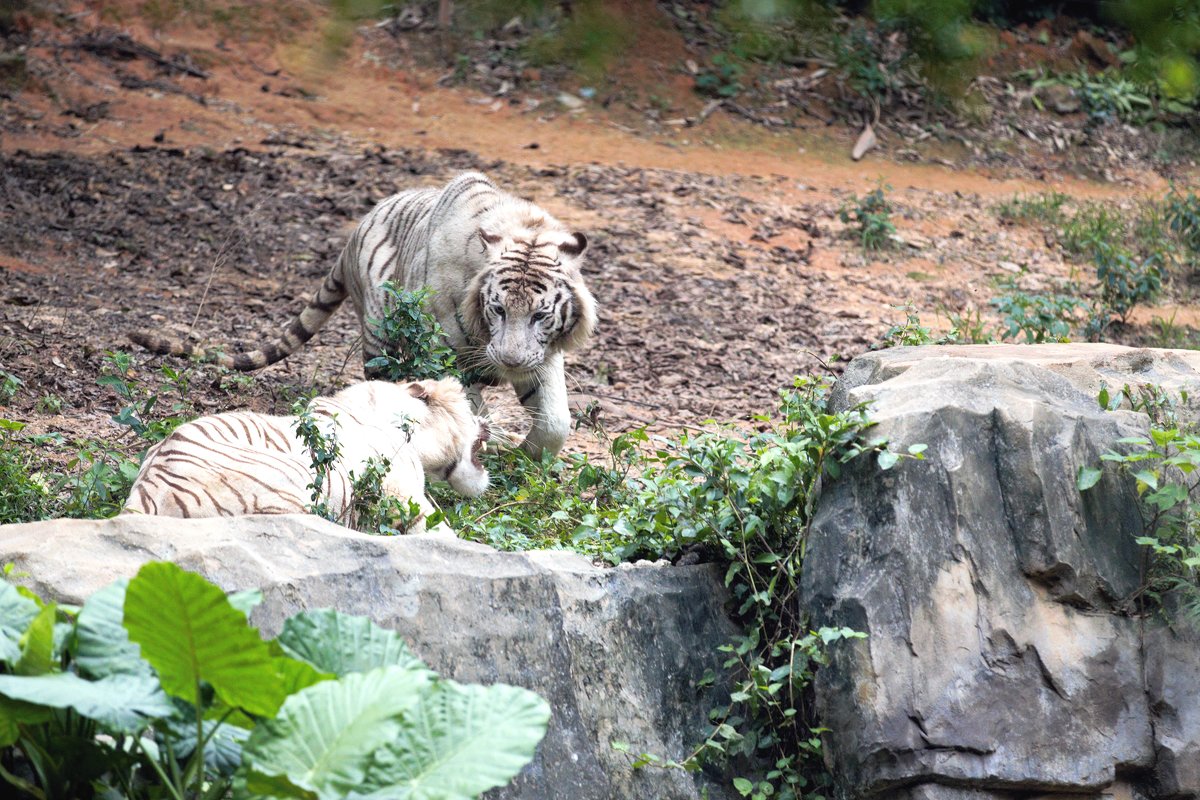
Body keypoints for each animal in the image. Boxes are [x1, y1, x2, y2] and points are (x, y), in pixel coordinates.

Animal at [129, 172, 597, 460]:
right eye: (497, 309)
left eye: (540, 316)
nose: (510, 362)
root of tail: (353, 233)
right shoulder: (446, 353)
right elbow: (468, 409)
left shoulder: (542, 354)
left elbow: (555, 420)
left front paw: (527, 457)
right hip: (377, 333)